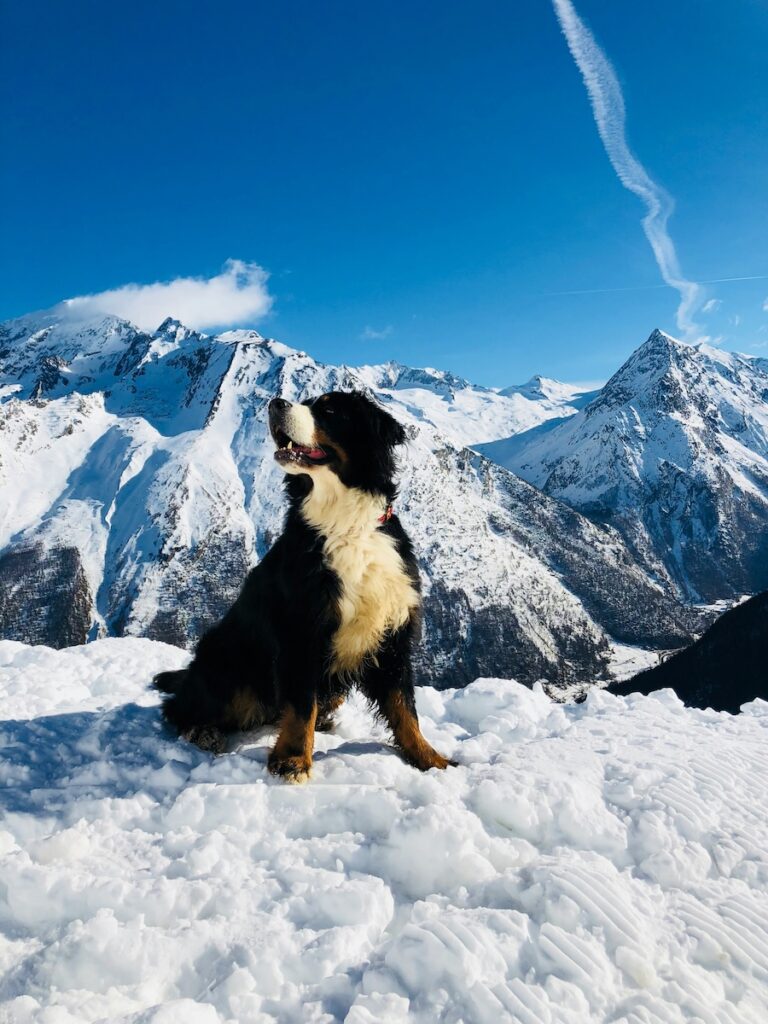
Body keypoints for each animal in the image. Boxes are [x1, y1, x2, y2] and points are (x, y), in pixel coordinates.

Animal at [154, 387, 456, 778]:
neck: (346, 526)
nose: (275, 403)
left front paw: (429, 758)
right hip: (228, 663)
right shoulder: (300, 629)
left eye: (328, 410)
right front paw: (293, 758)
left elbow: (405, 707)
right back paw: (203, 731)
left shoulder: (392, 634)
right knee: (183, 706)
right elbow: (301, 706)